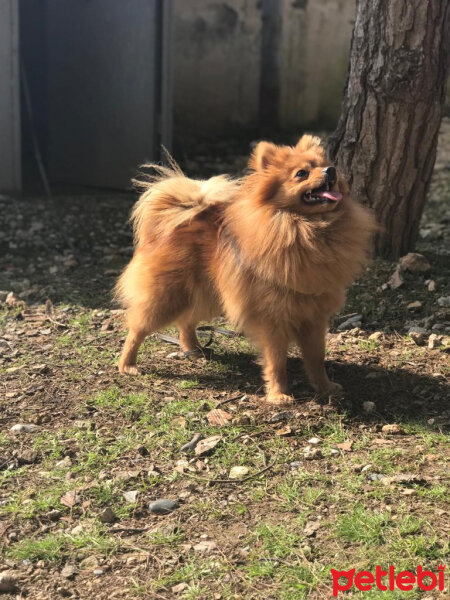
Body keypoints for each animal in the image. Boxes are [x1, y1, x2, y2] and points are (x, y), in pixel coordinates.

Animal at [116, 136, 376, 406]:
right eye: (302, 173)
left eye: (326, 165)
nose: (331, 171)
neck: (306, 229)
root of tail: (170, 223)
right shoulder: (273, 318)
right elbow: (276, 361)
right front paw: (279, 394)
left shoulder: (314, 317)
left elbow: (316, 359)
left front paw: (324, 387)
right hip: (168, 296)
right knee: (138, 328)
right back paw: (127, 364)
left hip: (206, 294)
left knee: (186, 320)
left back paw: (194, 349)